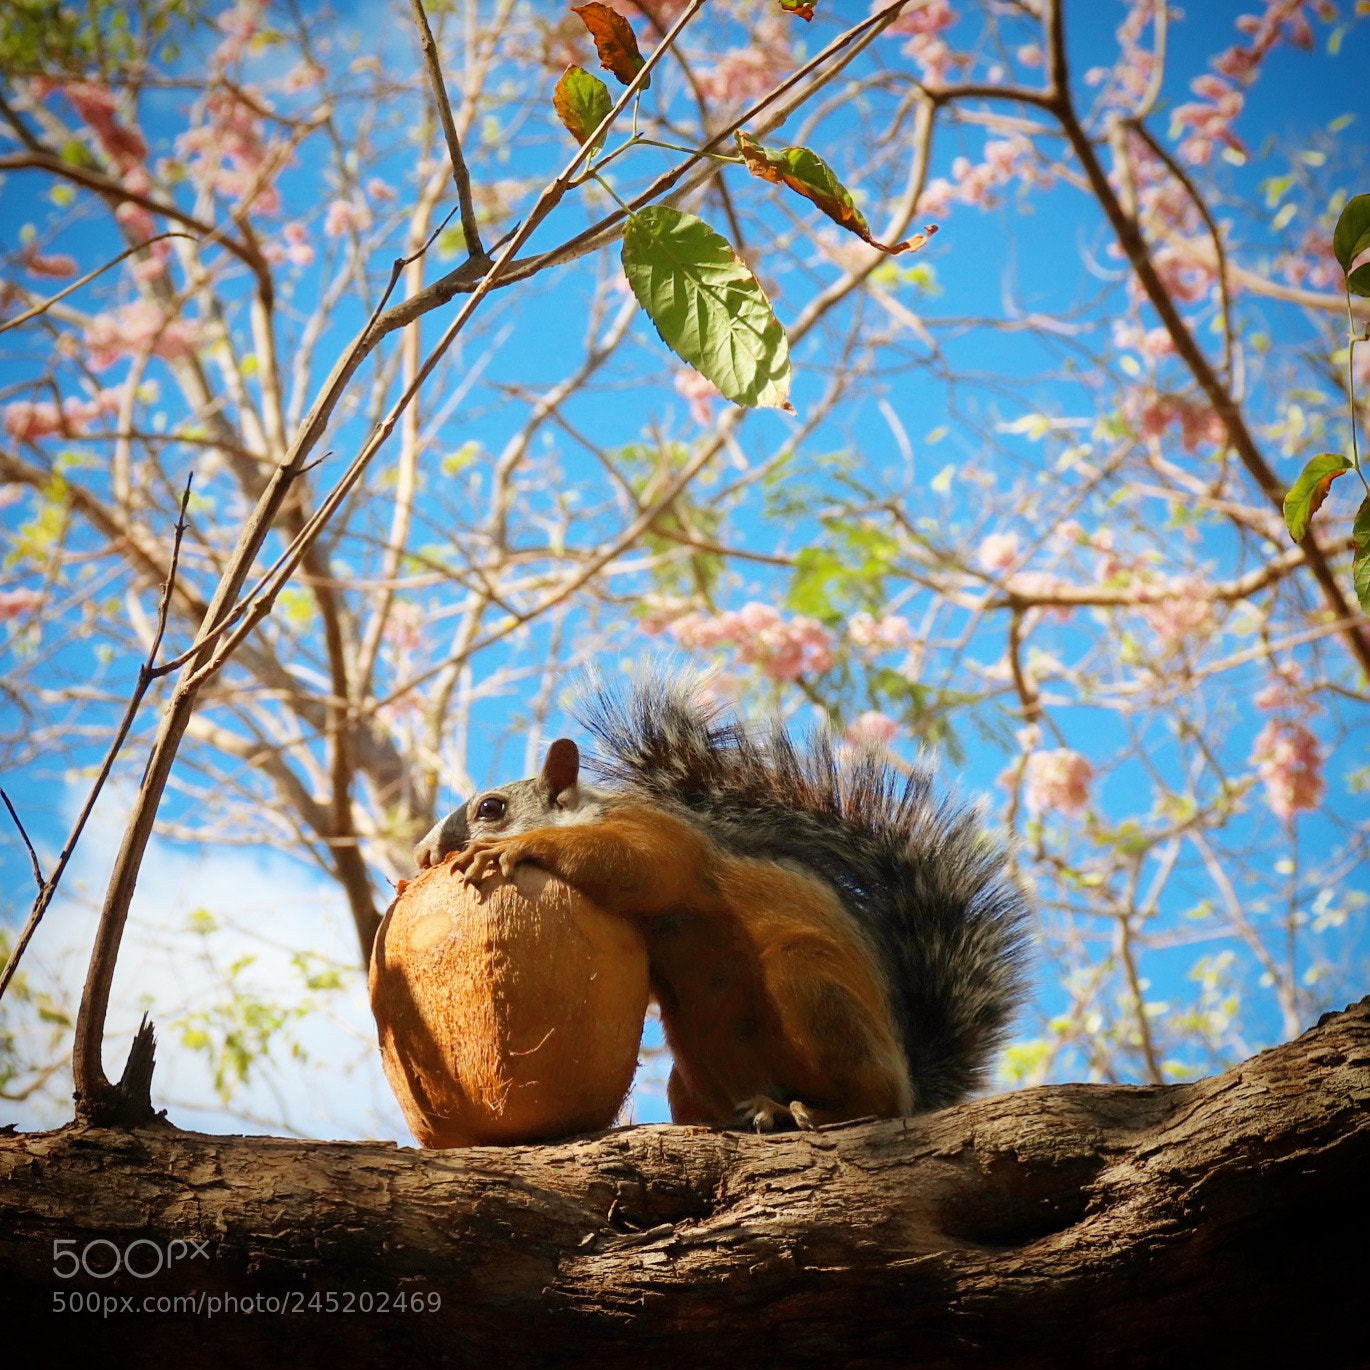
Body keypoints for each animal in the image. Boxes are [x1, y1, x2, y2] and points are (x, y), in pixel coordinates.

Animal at [413, 671, 1031, 1132]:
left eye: (490, 808)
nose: (422, 855)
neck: (592, 810)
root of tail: (913, 1086)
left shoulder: (661, 837)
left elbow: (640, 868)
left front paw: (516, 847)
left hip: (805, 980)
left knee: (874, 1101)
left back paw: (810, 1110)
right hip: (694, 1073)